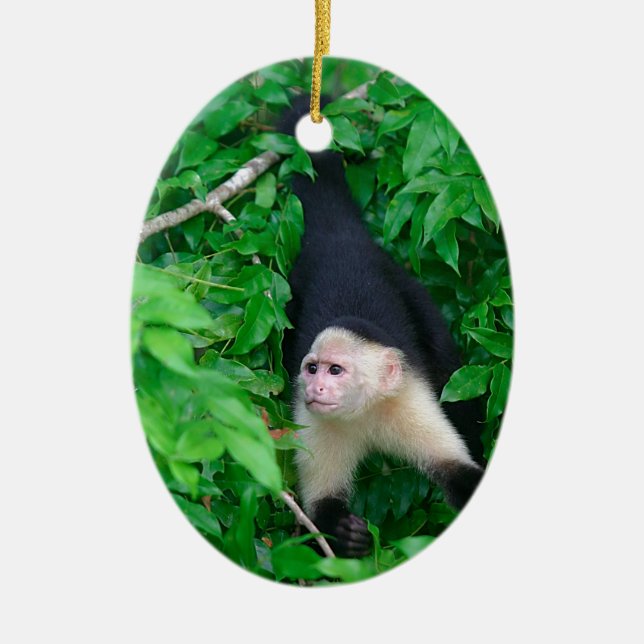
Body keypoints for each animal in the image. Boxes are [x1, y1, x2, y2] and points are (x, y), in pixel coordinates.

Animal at [279, 99, 485, 558]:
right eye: (312, 369)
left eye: (336, 370)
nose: (317, 386)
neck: (364, 412)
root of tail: (340, 239)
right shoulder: (314, 419)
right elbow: (319, 510)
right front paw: (345, 532)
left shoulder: (406, 401)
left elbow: (457, 470)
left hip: (404, 282)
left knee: (447, 367)